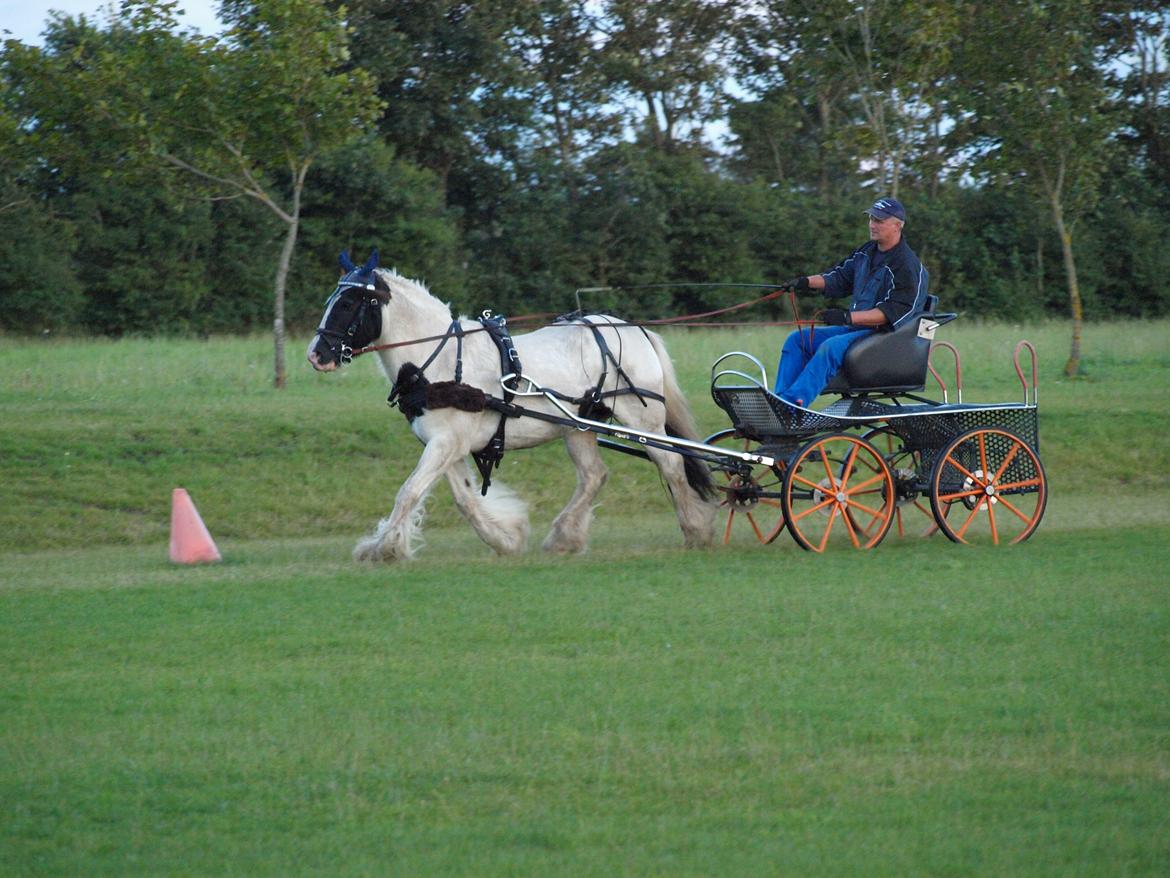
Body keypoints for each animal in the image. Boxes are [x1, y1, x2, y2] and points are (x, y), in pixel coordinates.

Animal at [306, 250, 716, 559]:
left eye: (351, 302)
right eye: (331, 300)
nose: (317, 355)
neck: (440, 360)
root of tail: (630, 328)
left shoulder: (444, 444)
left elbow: (409, 491)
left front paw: (381, 549)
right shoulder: (447, 445)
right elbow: (464, 499)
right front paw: (506, 538)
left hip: (642, 419)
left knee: (671, 464)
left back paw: (696, 531)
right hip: (580, 426)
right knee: (594, 475)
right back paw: (564, 537)